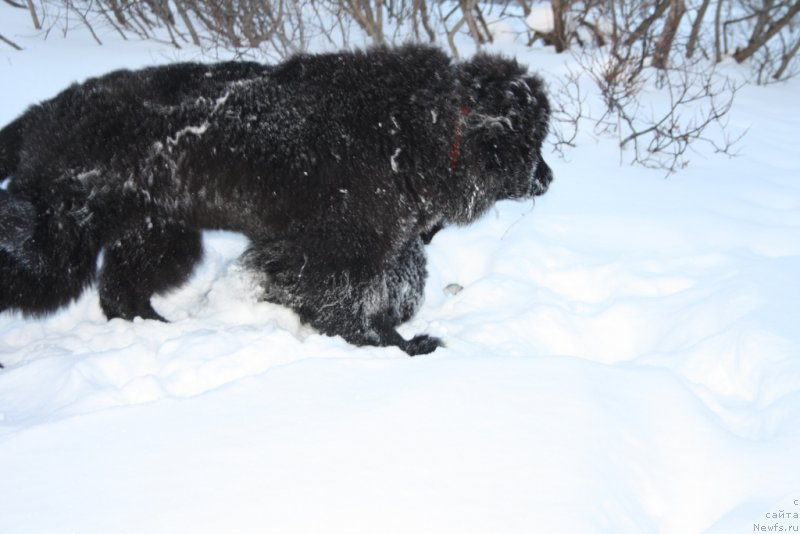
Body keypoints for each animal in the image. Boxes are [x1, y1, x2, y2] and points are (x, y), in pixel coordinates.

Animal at [0, 45, 552, 356]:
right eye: (530, 143)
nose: (547, 179)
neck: (419, 128)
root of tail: (41, 114)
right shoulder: (338, 251)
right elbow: (344, 305)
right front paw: (395, 346)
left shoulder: (375, 244)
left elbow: (396, 283)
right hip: (62, 234)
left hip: (158, 233)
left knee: (121, 292)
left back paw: (157, 329)